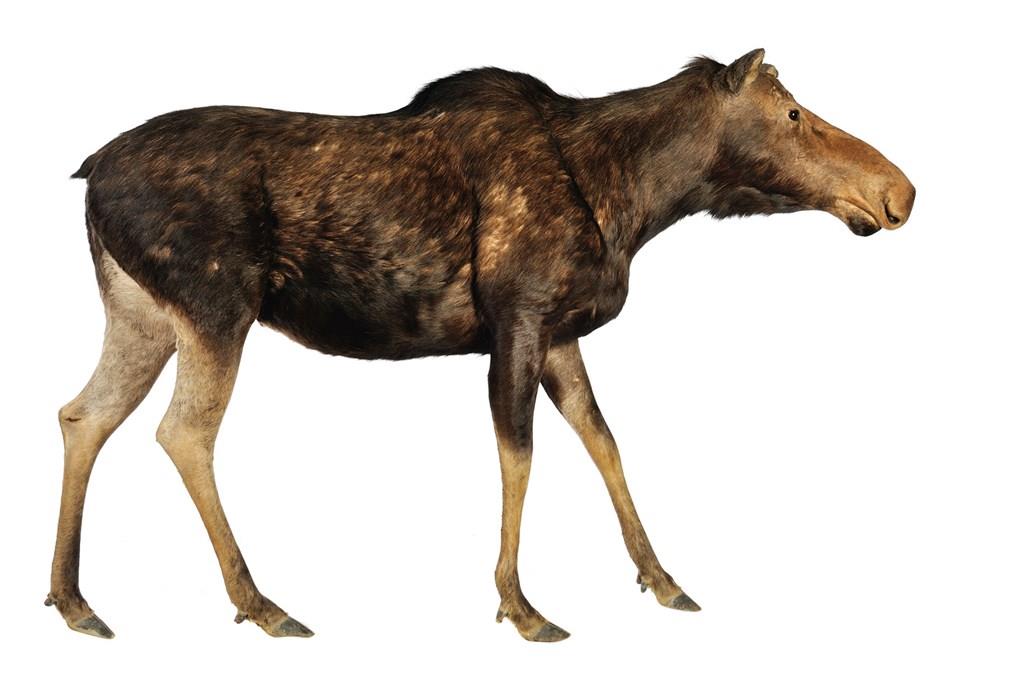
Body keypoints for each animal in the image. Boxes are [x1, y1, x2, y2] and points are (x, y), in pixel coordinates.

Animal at [48, 48, 915, 642]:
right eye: (793, 113)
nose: (898, 191)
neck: (639, 199)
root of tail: (88, 174)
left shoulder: (561, 333)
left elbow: (604, 440)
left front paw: (662, 576)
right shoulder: (520, 318)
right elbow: (519, 452)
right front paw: (520, 603)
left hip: (143, 315)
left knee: (82, 413)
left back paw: (74, 598)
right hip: (217, 305)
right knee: (182, 431)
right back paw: (260, 601)